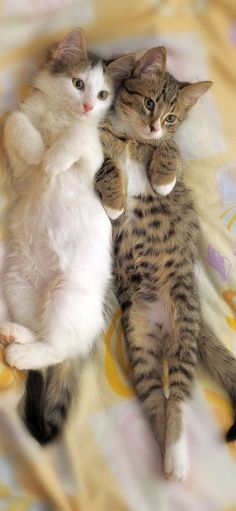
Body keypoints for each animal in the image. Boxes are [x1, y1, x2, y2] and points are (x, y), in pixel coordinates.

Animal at [95, 46, 236, 482]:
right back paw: (166, 455)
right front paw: (114, 200)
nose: (156, 126)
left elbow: (172, 152)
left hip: (184, 325)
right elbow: (106, 161)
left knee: (178, 397)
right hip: (137, 341)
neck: (133, 138)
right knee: (157, 399)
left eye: (172, 118)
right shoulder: (98, 140)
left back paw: (176, 458)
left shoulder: (168, 147)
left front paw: (162, 178)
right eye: (149, 103)